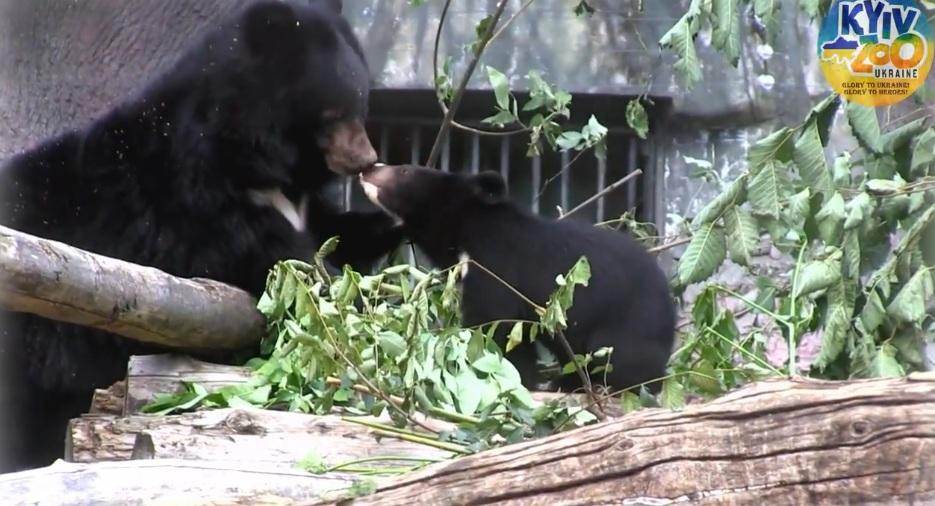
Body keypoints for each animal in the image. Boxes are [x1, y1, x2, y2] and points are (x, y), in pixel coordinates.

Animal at [0, 1, 398, 472]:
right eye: (332, 112)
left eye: (362, 103)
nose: (366, 159)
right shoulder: (199, 204)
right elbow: (286, 262)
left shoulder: (300, 204)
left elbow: (335, 232)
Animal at [362, 166, 676, 396]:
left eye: (404, 171)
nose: (369, 168)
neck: (466, 233)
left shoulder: (496, 269)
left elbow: (495, 325)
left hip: (628, 324)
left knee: (618, 359)